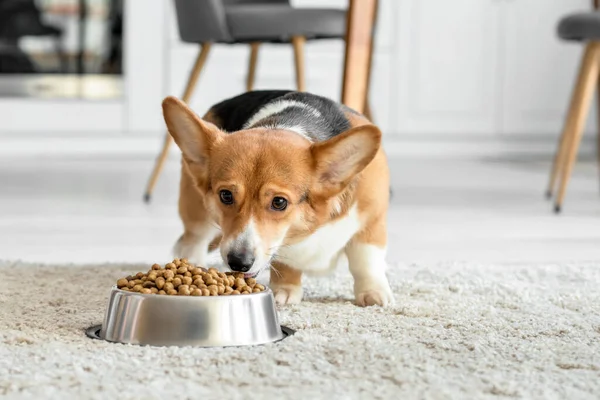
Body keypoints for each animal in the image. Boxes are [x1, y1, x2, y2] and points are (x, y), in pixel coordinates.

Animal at [162, 90, 394, 308]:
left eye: (279, 202)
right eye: (226, 195)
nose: (239, 263)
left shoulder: (372, 222)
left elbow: (365, 260)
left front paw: (373, 293)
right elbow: (286, 261)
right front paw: (285, 290)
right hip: (197, 214)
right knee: (194, 240)